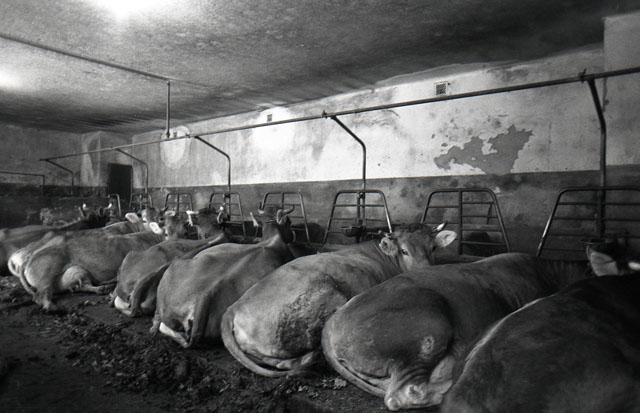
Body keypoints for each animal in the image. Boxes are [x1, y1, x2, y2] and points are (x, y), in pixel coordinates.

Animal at [220, 223, 457, 377]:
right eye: (404, 251)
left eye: (433, 248)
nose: (426, 270)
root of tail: (234, 307)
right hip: (326, 297)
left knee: (276, 362)